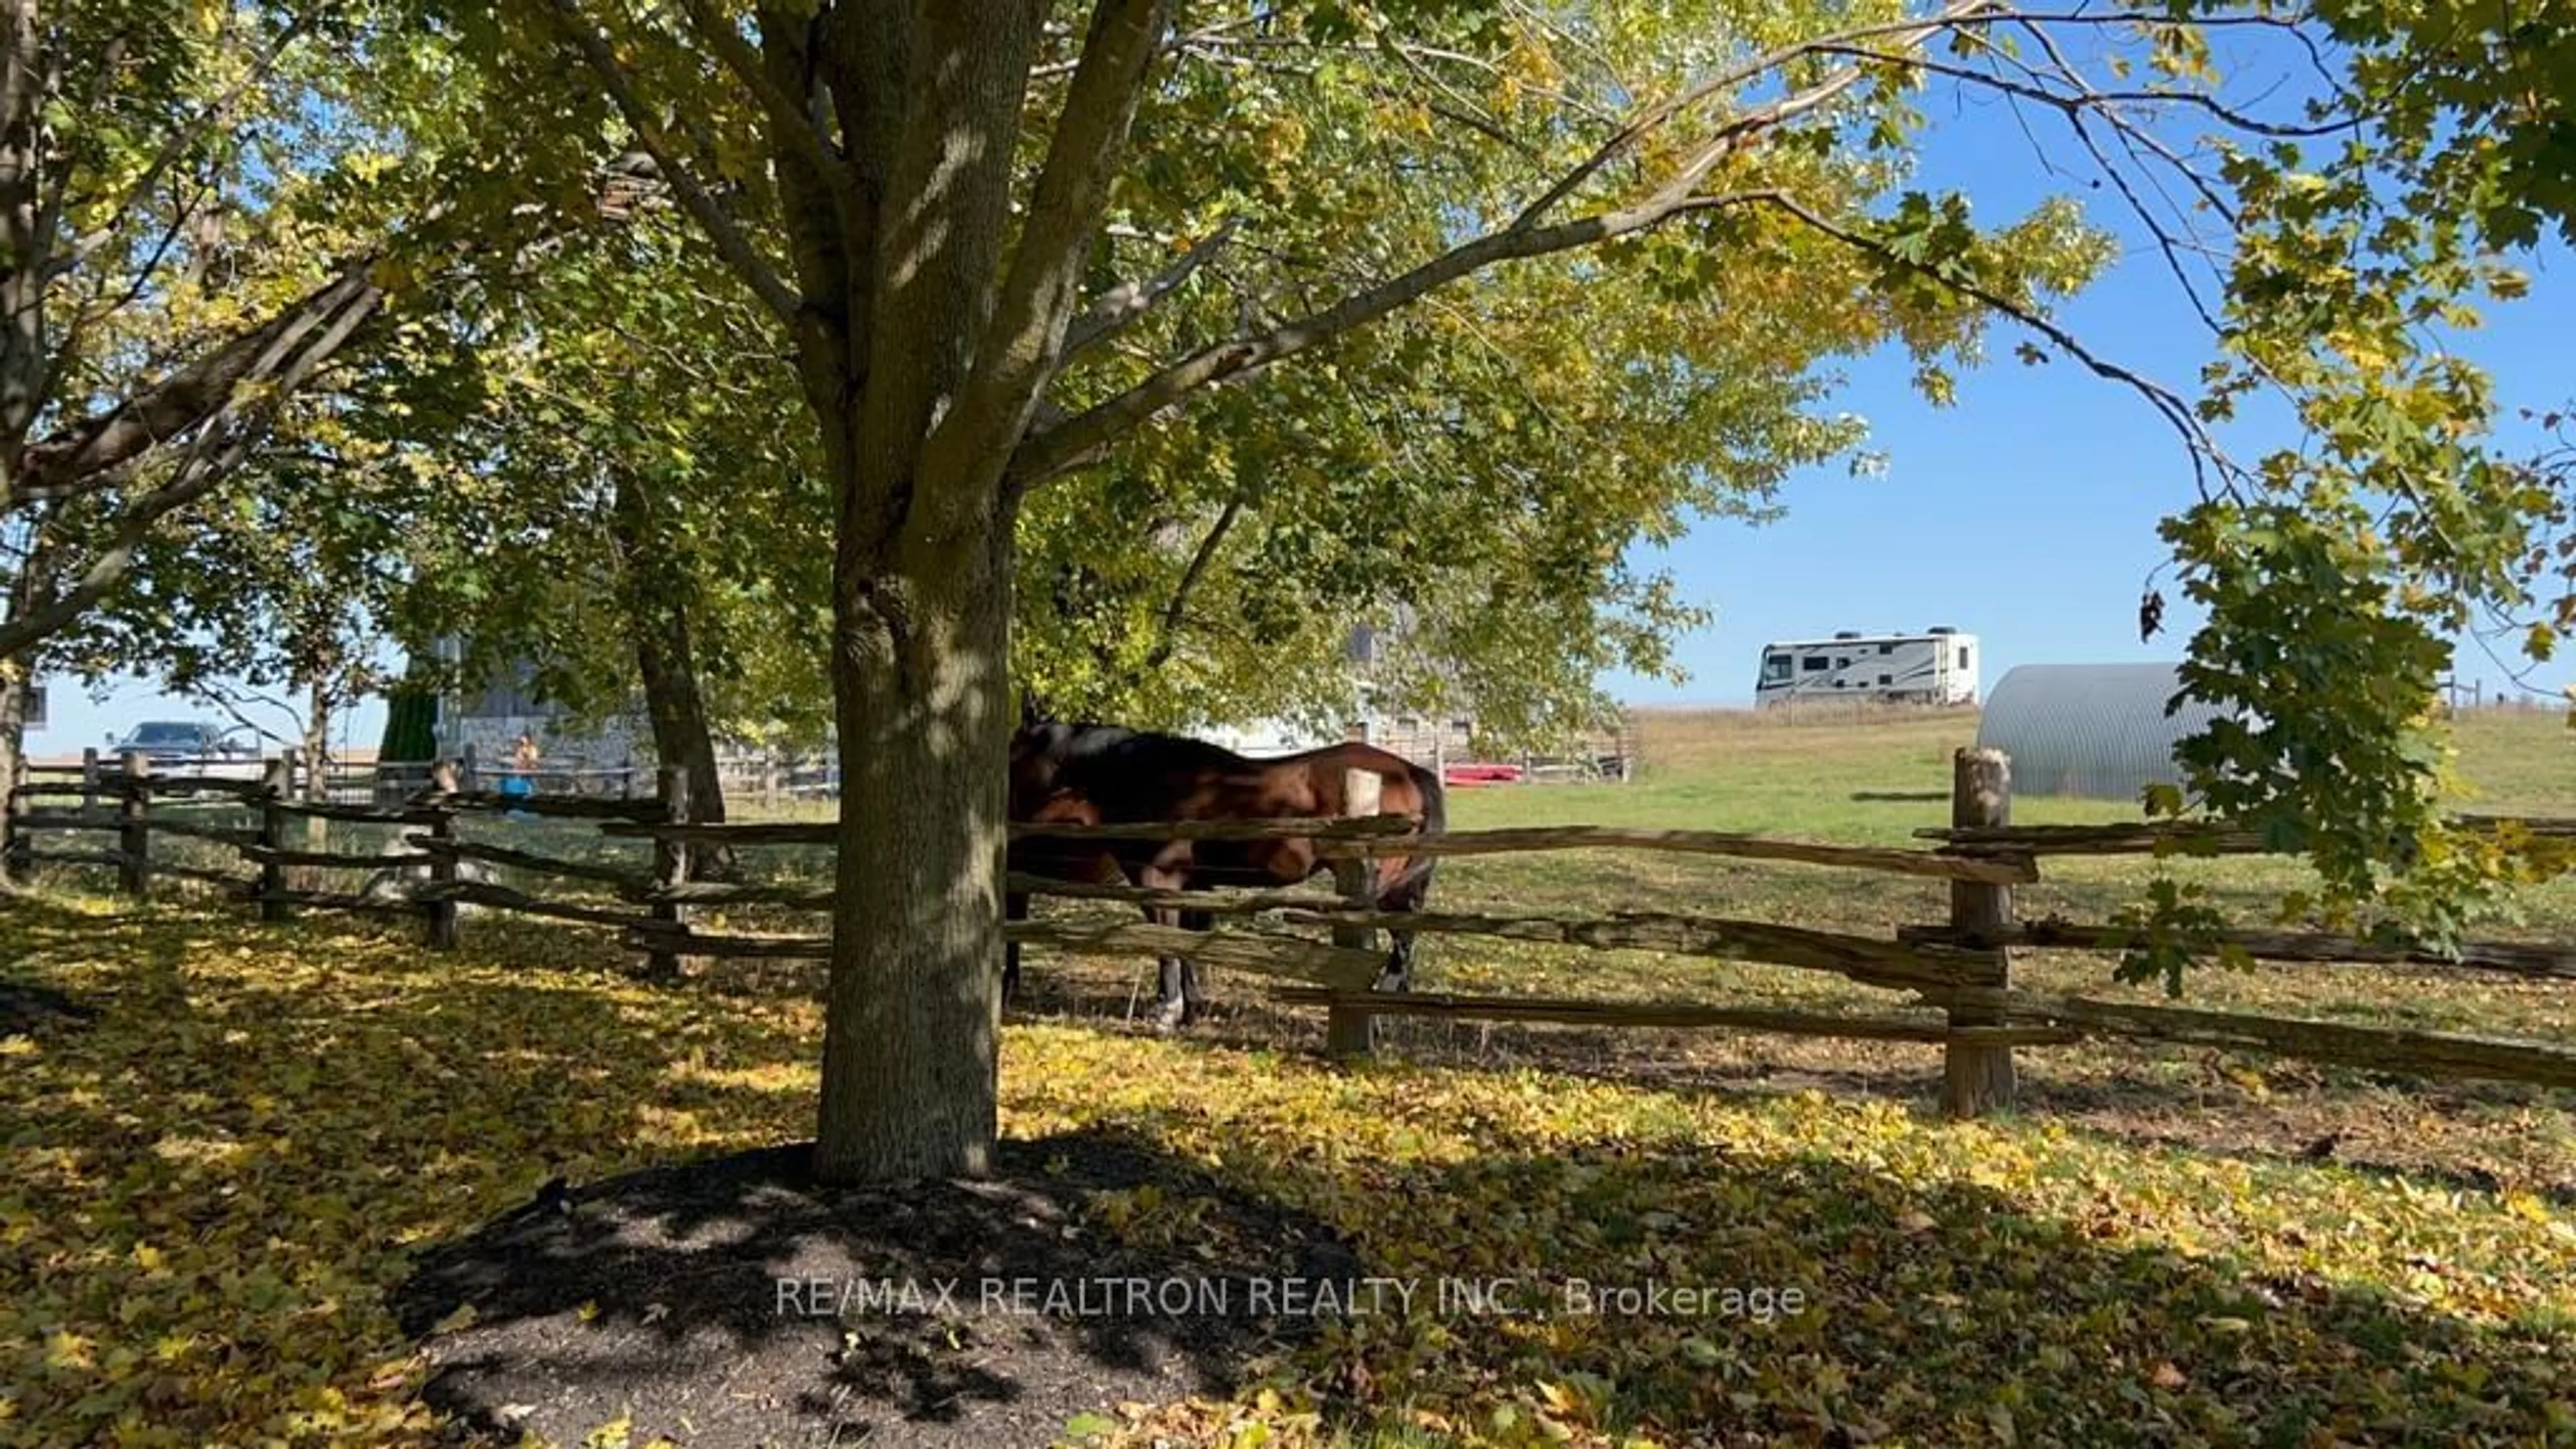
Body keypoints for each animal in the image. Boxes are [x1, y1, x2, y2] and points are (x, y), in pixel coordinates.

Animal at [1004, 722, 1452, 1026]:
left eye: (1014, 753)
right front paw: (1191, 1009)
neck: (1152, 777)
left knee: (1401, 941)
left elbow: (1167, 944)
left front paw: (1168, 1011)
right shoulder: (1193, 885)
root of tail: (1409, 771)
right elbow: (1188, 945)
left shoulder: (1158, 881)